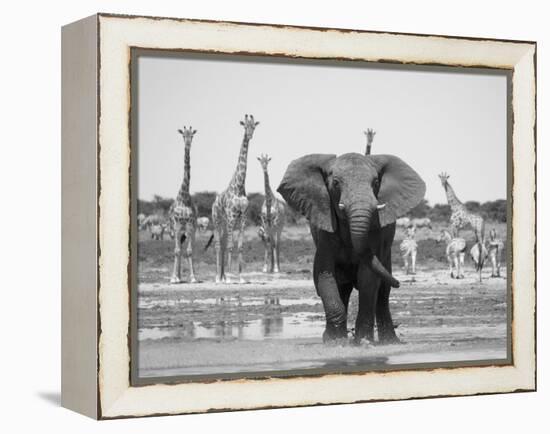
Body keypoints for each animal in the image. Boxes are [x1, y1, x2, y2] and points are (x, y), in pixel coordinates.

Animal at [213, 113, 260, 284]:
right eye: (245, 126)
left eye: (253, 126)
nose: (250, 135)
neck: (239, 186)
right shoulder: (232, 216)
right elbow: (230, 246)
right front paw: (229, 277)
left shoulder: (243, 217)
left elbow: (239, 246)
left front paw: (241, 277)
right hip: (217, 220)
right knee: (218, 245)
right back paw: (218, 277)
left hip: (225, 222)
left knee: (223, 242)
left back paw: (221, 276)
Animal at [280, 153, 426, 346]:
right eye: (335, 183)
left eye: (376, 182)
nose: (400, 283)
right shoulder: (325, 229)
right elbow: (324, 273)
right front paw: (335, 342)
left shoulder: (375, 231)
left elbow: (368, 277)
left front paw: (363, 341)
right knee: (343, 287)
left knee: (382, 293)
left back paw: (389, 341)